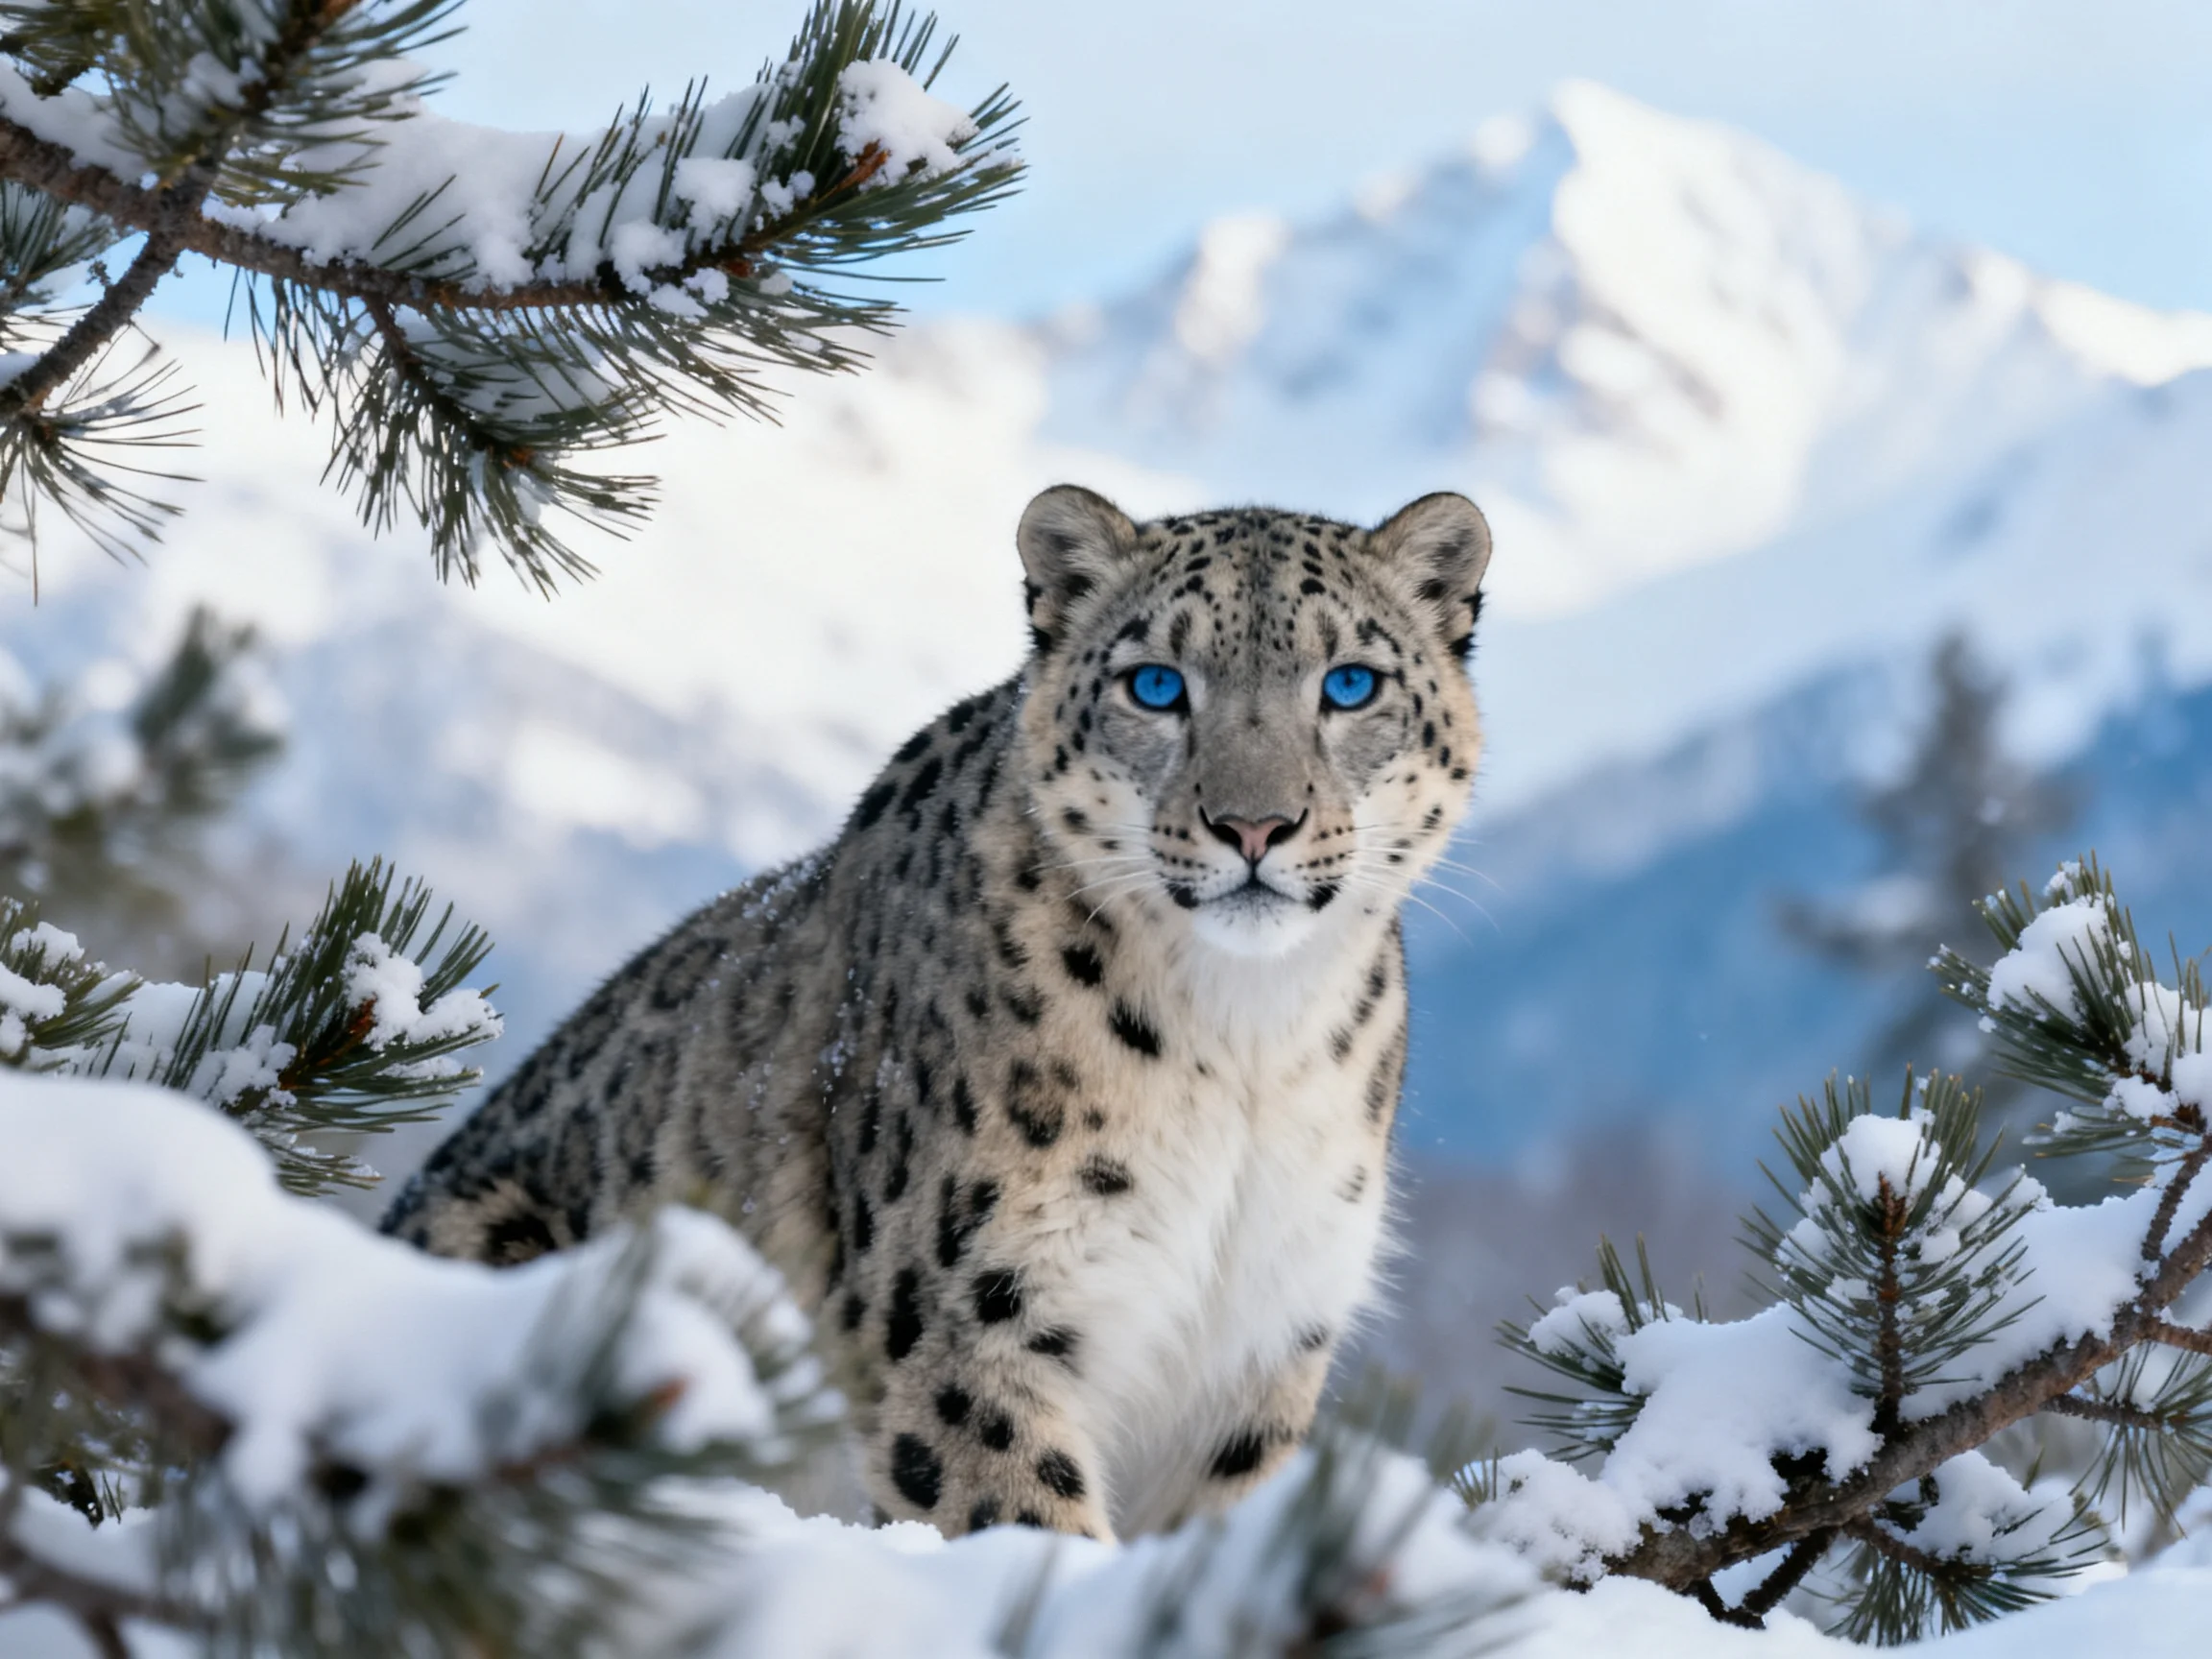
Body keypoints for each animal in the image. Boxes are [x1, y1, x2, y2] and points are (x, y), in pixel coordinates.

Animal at [381, 483, 1494, 1542]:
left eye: (1349, 682)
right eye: (1155, 684)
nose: (1254, 824)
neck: (1247, 1041)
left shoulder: (1263, 1335)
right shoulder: (967, 1313)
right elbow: (1026, 1519)